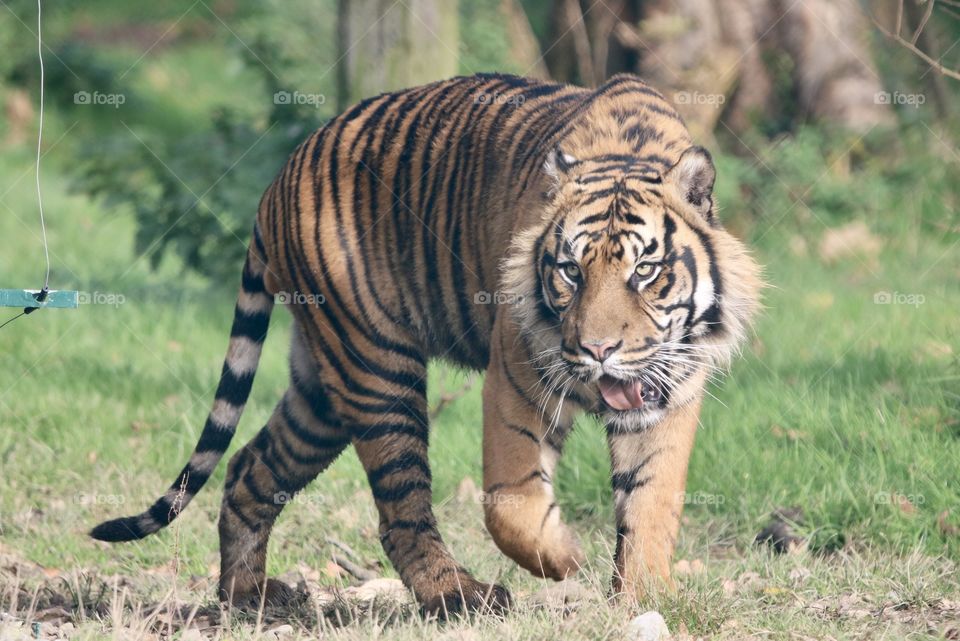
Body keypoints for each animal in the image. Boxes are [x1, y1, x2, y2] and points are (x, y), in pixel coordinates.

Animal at [91, 72, 761, 616]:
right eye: (571, 272)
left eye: (644, 271)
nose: (597, 351)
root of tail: (279, 177)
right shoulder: (516, 381)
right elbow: (511, 506)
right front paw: (568, 558)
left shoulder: (669, 393)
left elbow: (651, 501)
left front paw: (645, 599)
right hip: (375, 367)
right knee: (400, 511)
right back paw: (459, 596)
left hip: (321, 391)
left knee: (251, 466)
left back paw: (249, 596)